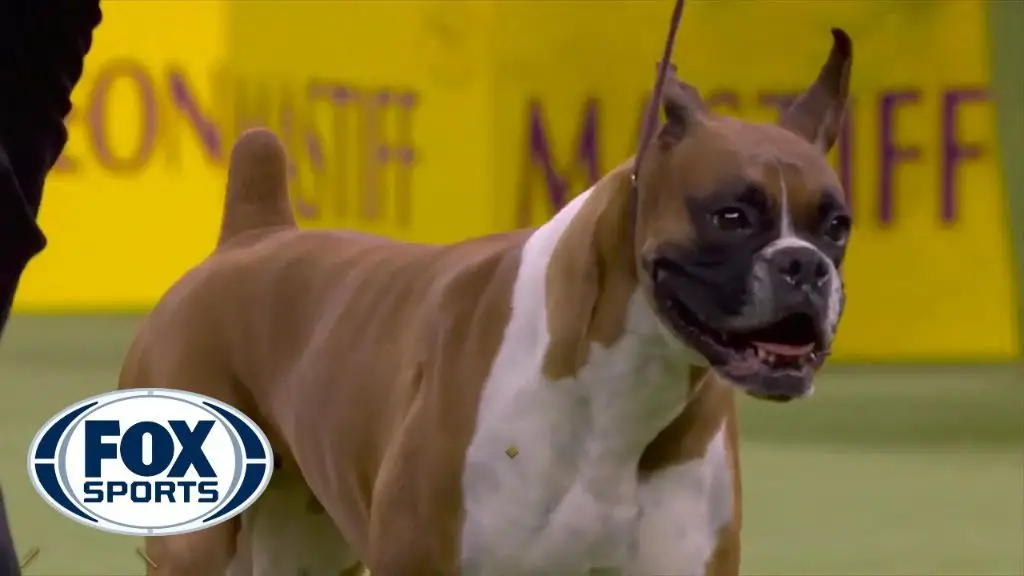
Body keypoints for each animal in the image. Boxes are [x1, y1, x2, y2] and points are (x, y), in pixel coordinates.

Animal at [119, 24, 851, 573]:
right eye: (731, 215)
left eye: (837, 226)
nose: (805, 266)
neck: (621, 388)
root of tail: (251, 235)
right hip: (195, 546)